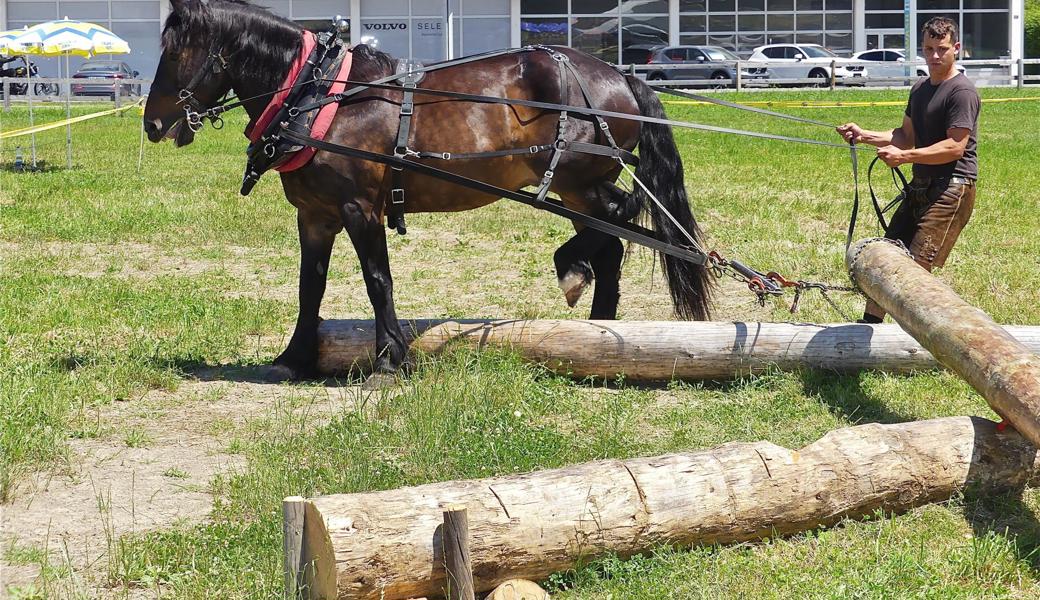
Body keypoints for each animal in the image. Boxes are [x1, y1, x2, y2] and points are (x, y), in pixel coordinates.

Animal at [144, 0, 715, 382]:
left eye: (175, 51)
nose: (152, 124)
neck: (320, 94)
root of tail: (619, 75)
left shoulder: (359, 209)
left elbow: (378, 281)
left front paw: (388, 360)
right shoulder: (314, 215)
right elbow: (311, 287)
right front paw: (294, 358)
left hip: (581, 179)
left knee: (625, 214)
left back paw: (572, 271)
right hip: (576, 191)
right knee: (612, 242)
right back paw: (596, 330)